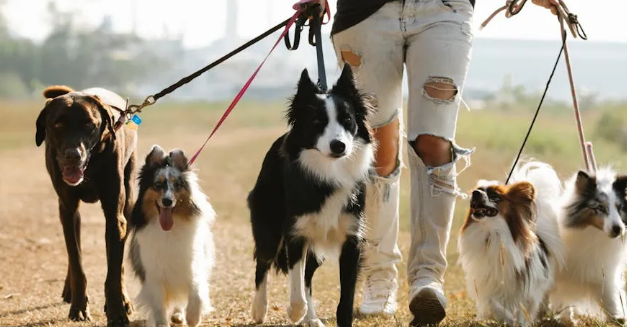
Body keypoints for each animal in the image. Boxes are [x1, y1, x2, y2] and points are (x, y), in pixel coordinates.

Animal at [127, 146, 216, 327]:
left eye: (177, 184)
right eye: (157, 184)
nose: (167, 201)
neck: (169, 231)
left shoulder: (192, 267)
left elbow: (196, 293)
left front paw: (193, 317)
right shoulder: (154, 276)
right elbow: (159, 309)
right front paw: (162, 322)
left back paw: (179, 315)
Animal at [247, 64, 376, 327]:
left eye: (348, 120)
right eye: (317, 122)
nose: (339, 146)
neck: (329, 172)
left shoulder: (352, 238)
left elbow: (345, 299)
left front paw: (314, 315)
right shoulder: (296, 233)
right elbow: (295, 284)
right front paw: (295, 312)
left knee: (307, 275)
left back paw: (312, 318)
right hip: (269, 224)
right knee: (263, 262)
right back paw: (259, 309)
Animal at [458, 162, 568, 327]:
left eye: (495, 196)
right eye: (476, 191)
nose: (475, 193)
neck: (491, 234)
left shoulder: (530, 287)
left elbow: (525, 308)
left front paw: (519, 321)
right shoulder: (488, 280)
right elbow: (492, 302)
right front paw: (508, 318)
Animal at [548, 168, 627, 324]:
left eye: (620, 207)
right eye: (600, 207)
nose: (618, 229)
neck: (593, 235)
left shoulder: (604, 272)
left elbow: (610, 297)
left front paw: (618, 317)